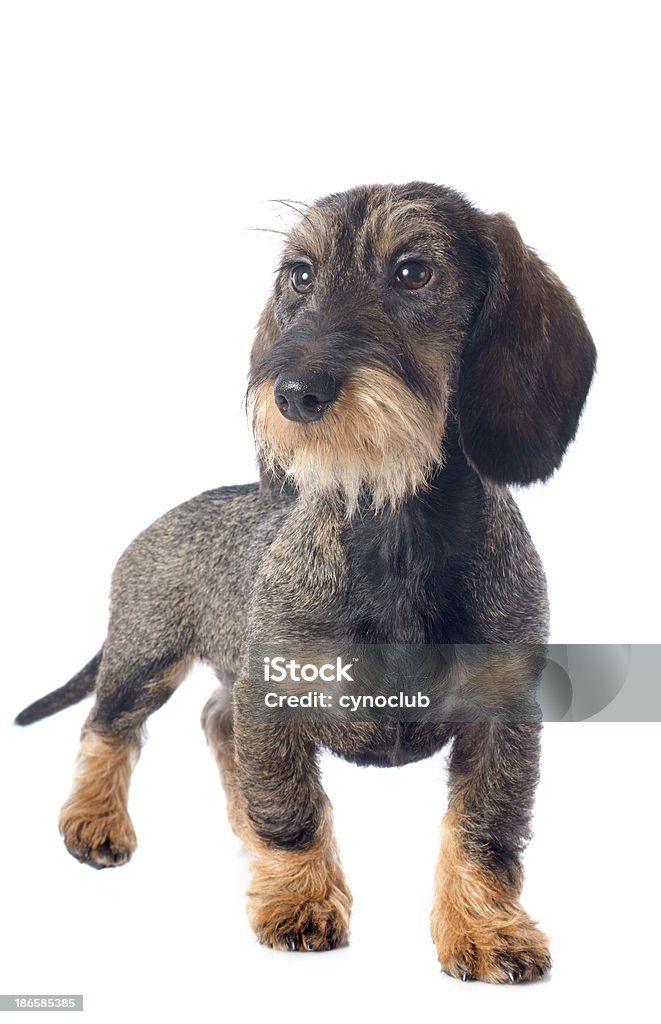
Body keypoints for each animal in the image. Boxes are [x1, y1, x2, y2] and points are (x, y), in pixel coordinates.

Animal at [15, 182, 597, 983]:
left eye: (412, 272)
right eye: (299, 275)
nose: (293, 393)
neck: (392, 530)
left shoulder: (503, 717)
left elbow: (482, 831)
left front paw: (485, 931)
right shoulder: (275, 696)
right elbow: (293, 814)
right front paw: (298, 901)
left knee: (215, 722)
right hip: (143, 658)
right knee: (108, 726)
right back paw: (95, 820)